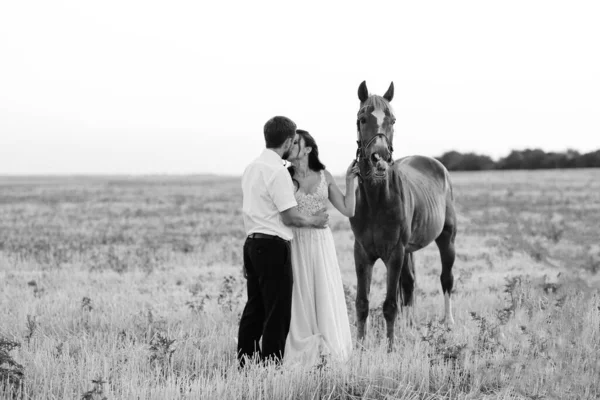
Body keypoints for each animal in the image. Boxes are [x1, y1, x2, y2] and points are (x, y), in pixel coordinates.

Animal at [350, 79, 458, 350]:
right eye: (362, 119)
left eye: (393, 119)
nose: (379, 158)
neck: (377, 200)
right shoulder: (362, 254)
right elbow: (362, 303)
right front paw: (360, 348)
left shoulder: (395, 254)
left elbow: (390, 305)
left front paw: (390, 349)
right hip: (409, 250)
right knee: (409, 285)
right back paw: (409, 328)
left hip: (447, 239)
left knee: (446, 279)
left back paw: (448, 323)